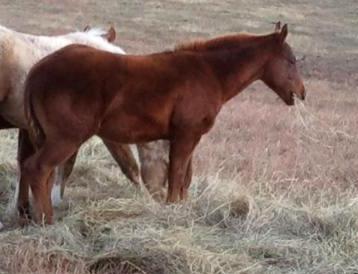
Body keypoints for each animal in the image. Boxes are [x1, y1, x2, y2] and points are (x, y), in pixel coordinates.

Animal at [20, 23, 304, 224]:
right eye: (290, 61)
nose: (301, 93)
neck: (208, 72)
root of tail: (38, 69)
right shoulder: (185, 135)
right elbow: (176, 175)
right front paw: (172, 208)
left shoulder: (190, 137)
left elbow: (186, 176)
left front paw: (182, 207)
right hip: (66, 139)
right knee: (38, 168)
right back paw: (46, 221)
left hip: (45, 137)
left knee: (38, 171)